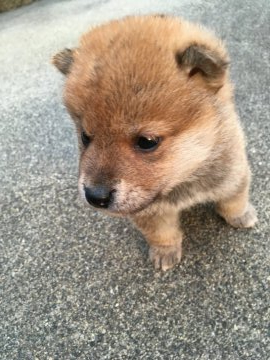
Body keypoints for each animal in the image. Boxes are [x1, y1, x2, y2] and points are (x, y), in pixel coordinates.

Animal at [52, 15, 258, 272]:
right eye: (85, 137)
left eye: (147, 141)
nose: (95, 196)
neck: (183, 180)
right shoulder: (148, 209)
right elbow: (161, 232)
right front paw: (165, 252)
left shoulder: (232, 173)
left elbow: (234, 200)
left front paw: (241, 216)